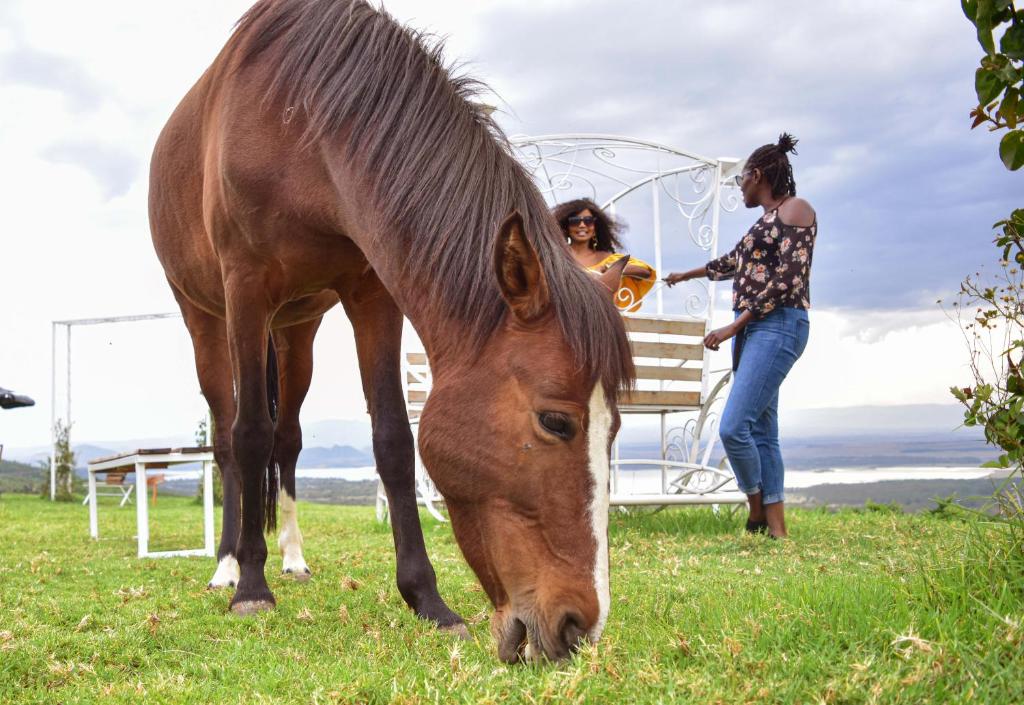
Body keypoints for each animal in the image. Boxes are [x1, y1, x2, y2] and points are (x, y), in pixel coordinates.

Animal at [149, 0, 630, 659]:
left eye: (616, 430)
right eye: (556, 421)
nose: (581, 627)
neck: (301, 123)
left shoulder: (373, 293)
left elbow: (394, 441)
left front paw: (429, 601)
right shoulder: (245, 288)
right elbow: (248, 436)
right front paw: (250, 587)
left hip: (297, 330)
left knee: (287, 439)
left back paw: (292, 557)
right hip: (207, 319)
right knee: (229, 437)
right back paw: (227, 565)